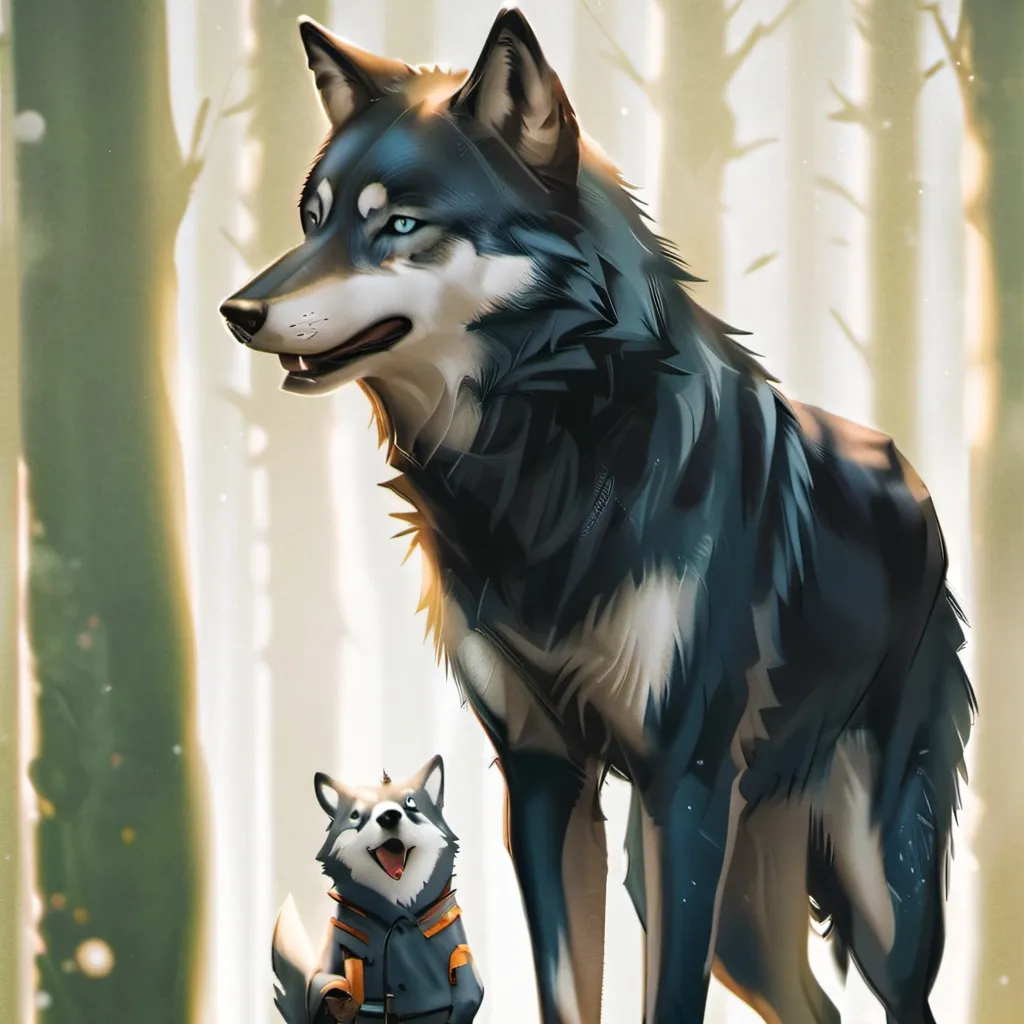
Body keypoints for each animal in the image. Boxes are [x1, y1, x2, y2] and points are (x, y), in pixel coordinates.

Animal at [272, 756, 483, 1024]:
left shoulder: (456, 946)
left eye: (411, 803)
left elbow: (468, 990)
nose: (389, 816)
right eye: (356, 815)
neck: (398, 909)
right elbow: (322, 986)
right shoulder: (331, 957)